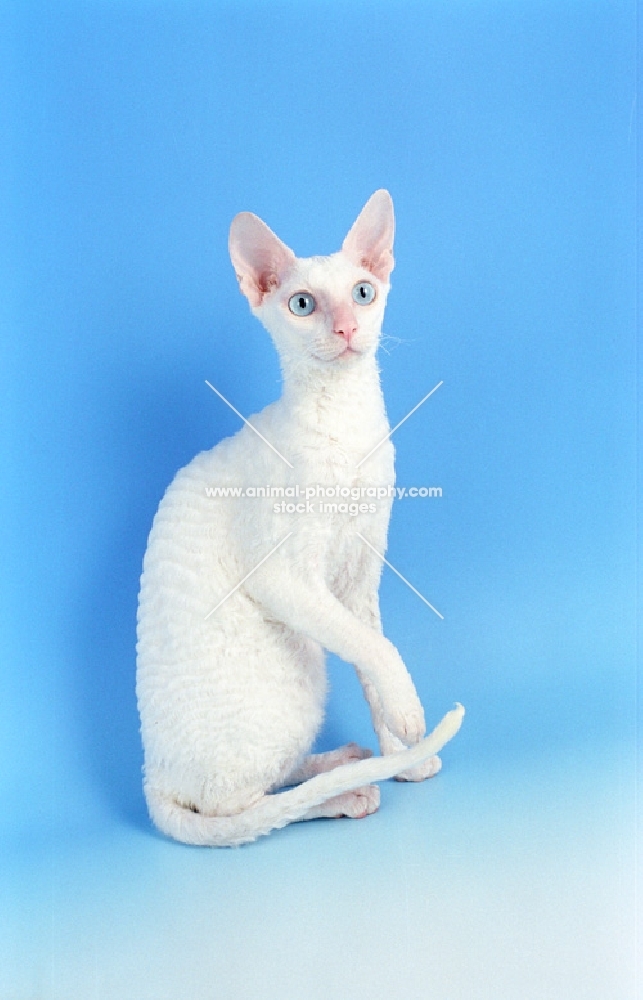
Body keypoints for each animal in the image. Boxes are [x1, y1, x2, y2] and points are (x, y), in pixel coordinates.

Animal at [136, 189, 462, 844]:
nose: (346, 328)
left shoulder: (360, 573)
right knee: (235, 809)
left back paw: (343, 761)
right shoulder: (285, 579)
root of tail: (151, 781)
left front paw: (402, 755)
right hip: (291, 684)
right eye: (303, 304)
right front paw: (410, 719)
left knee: (269, 782)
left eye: (363, 292)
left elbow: (370, 649)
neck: (346, 424)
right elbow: (377, 650)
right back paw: (341, 793)